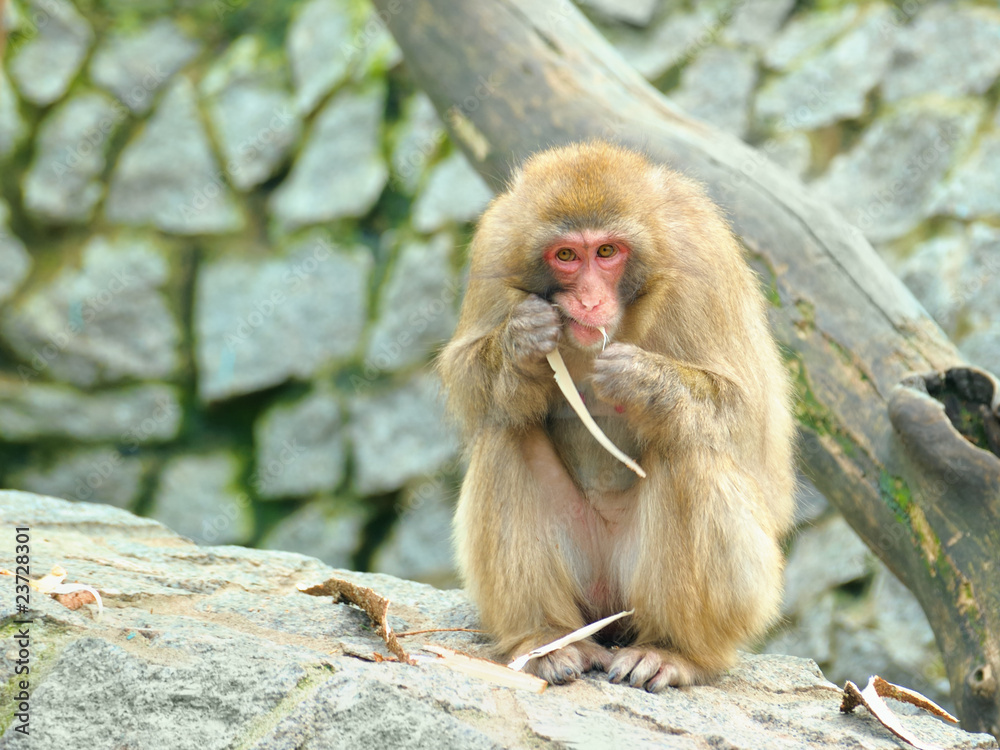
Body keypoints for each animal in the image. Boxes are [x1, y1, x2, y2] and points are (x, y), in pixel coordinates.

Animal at [438, 140, 796, 691]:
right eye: (566, 255)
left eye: (607, 252)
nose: (588, 300)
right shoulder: (496, 245)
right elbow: (465, 376)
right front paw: (521, 344)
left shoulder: (702, 255)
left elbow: (748, 411)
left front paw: (643, 381)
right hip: (585, 575)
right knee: (506, 428)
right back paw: (546, 640)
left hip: (728, 589)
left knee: (685, 444)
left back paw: (676, 651)